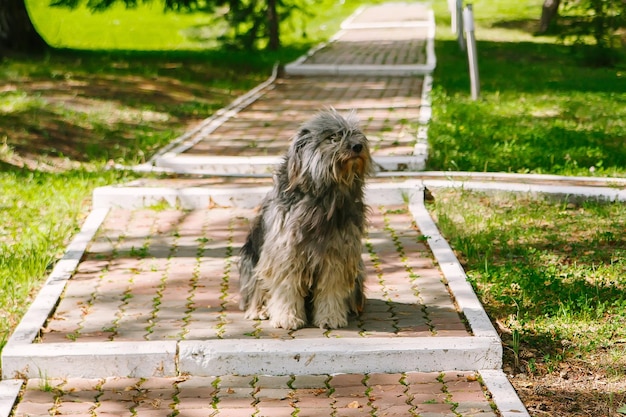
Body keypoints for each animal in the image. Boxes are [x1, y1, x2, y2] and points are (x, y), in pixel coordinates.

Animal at [236, 109, 368, 330]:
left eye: (356, 133)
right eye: (333, 138)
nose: (358, 146)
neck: (323, 199)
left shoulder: (337, 254)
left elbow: (331, 288)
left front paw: (330, 316)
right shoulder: (285, 254)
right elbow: (286, 287)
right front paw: (287, 317)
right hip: (251, 259)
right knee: (255, 288)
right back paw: (259, 310)